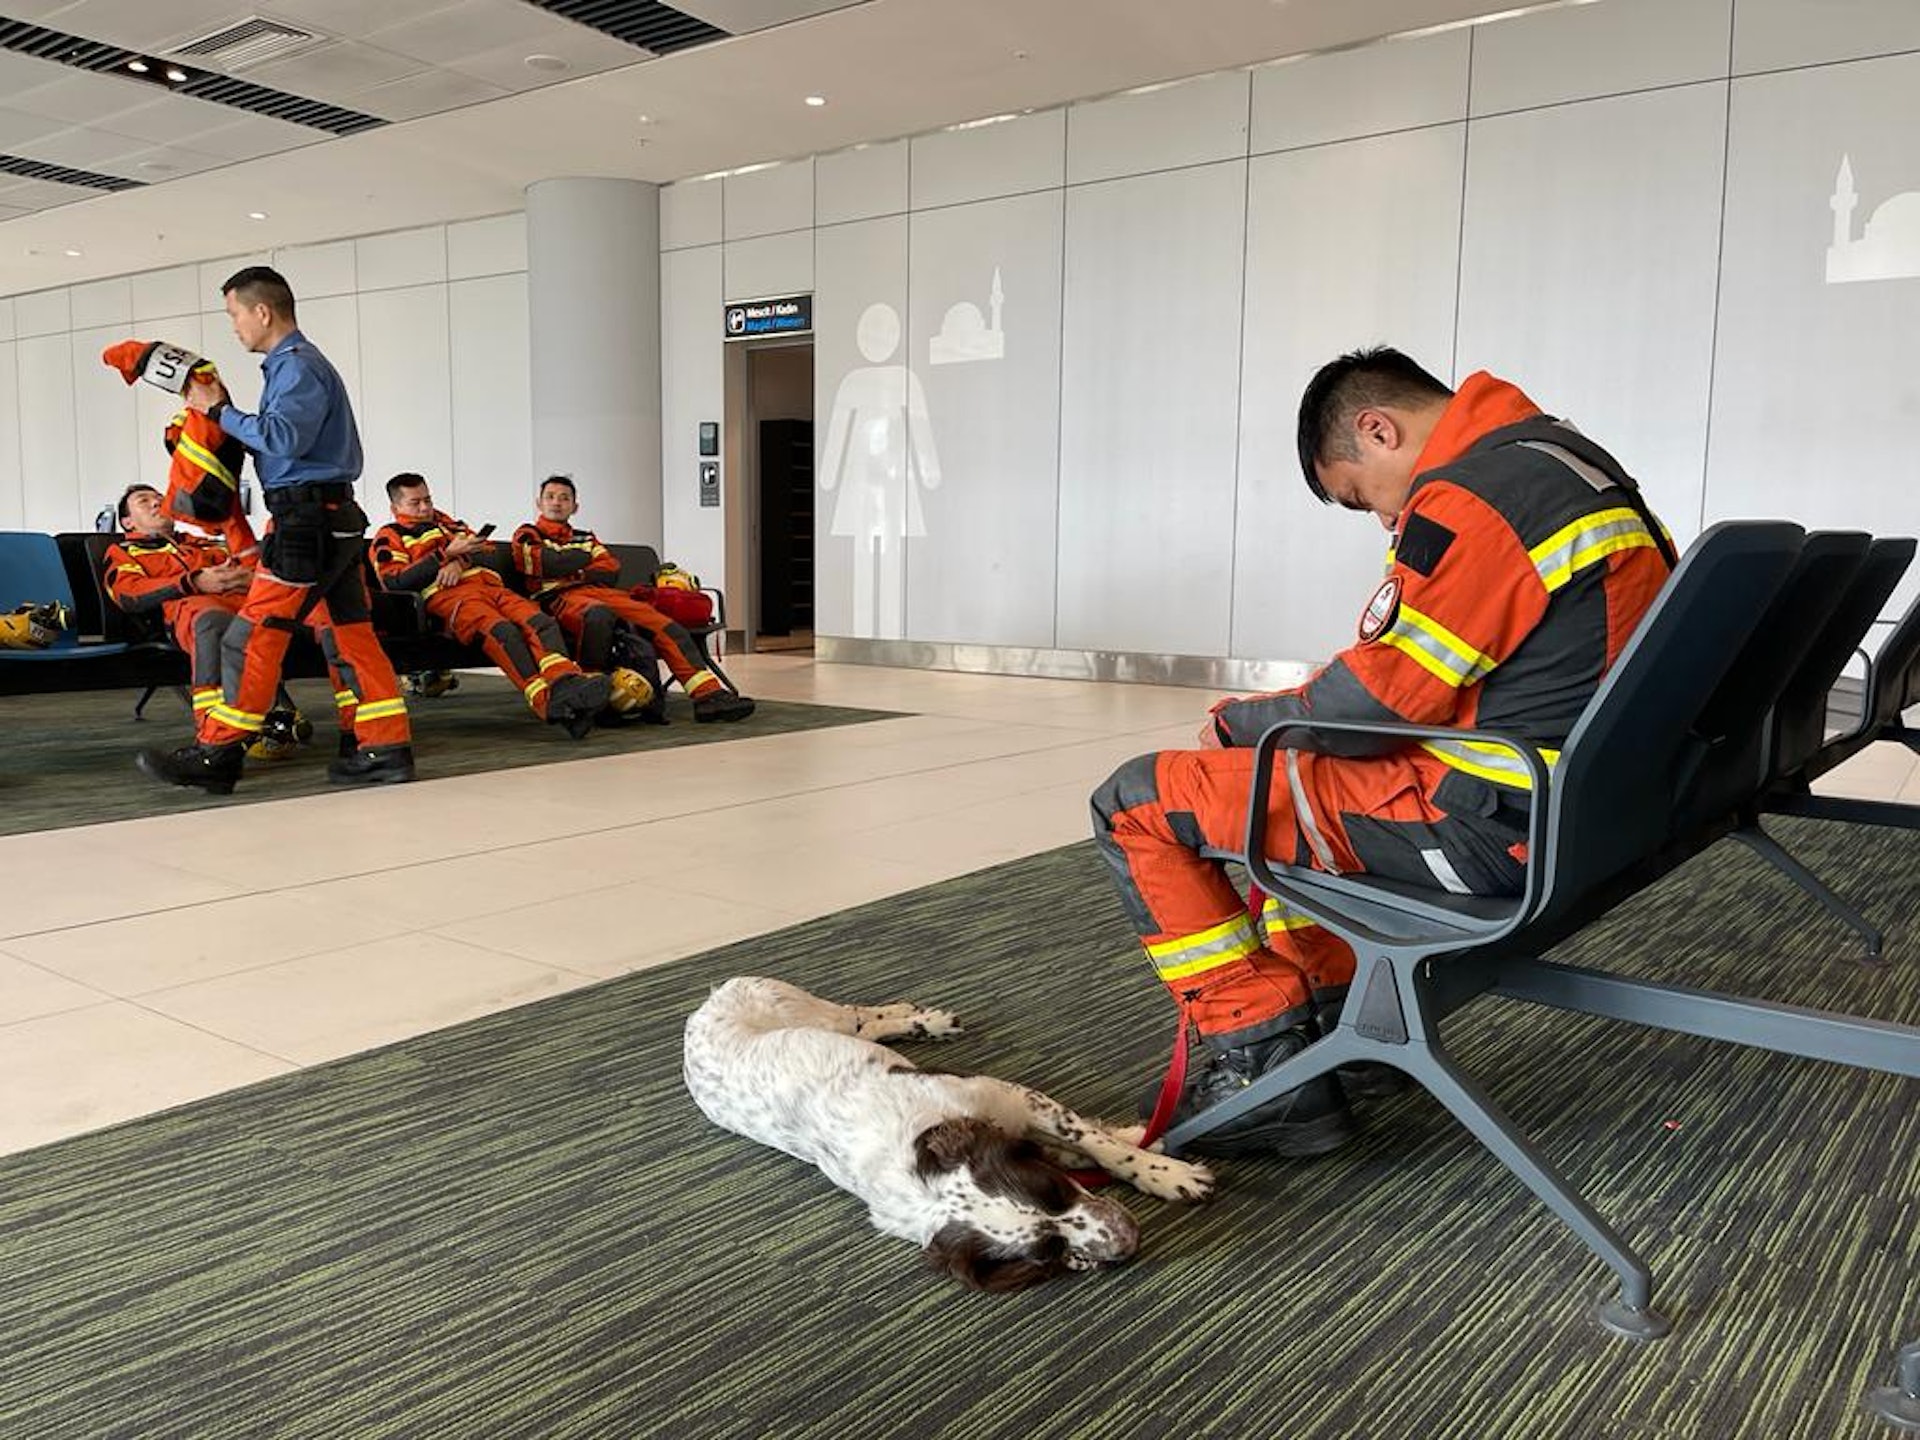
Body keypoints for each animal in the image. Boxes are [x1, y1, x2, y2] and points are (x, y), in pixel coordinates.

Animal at [683, 983, 1205, 1297]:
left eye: (1054, 1191)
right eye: (1048, 1252)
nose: (1128, 1238)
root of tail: (702, 1007)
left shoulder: (1012, 1096)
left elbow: (1098, 1143)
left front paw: (1163, 1170)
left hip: (813, 1013)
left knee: (858, 1014)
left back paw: (921, 1019)